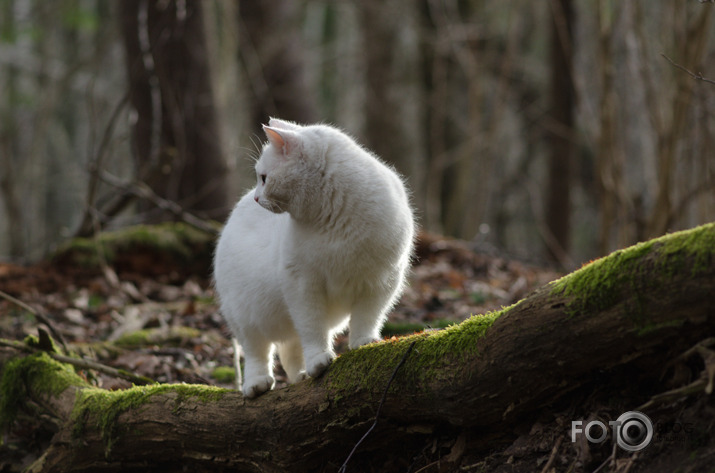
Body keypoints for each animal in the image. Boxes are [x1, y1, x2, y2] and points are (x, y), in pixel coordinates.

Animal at [213, 117, 414, 394]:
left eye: (264, 178)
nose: (256, 197)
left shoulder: (382, 282)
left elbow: (367, 317)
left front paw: (363, 341)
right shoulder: (303, 287)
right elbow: (312, 328)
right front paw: (319, 359)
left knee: (290, 349)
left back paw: (300, 376)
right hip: (244, 317)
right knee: (257, 352)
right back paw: (257, 384)